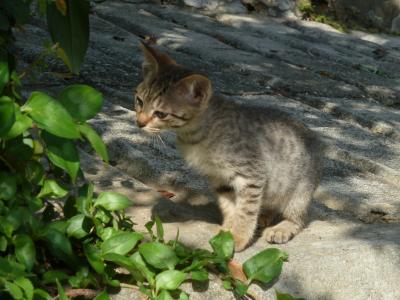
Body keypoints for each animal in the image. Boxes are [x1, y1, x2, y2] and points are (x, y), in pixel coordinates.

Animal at [134, 42, 322, 251]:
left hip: (299, 191)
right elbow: (230, 206)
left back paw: (282, 228)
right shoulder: (220, 178)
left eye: (161, 114)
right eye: (139, 101)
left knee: (298, 217)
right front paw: (228, 232)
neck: (197, 134)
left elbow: (245, 210)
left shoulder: (252, 174)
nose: (139, 123)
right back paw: (264, 216)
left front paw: (239, 236)